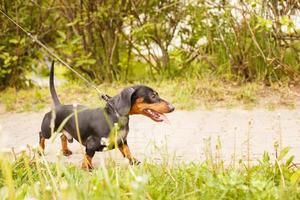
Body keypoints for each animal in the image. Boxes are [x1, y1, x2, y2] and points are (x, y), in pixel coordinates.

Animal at [38, 61, 175, 170]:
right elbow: (88, 156)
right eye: (153, 96)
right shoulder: (91, 144)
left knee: (63, 136)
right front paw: (87, 167)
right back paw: (40, 150)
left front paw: (133, 161)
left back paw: (65, 151)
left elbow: (127, 151)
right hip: (48, 130)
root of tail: (58, 105)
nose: (173, 107)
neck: (116, 116)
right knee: (41, 135)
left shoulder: (122, 141)